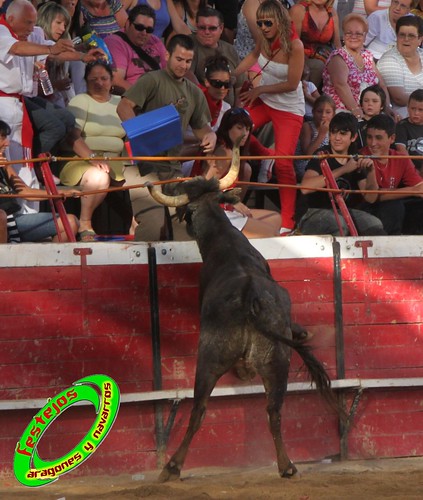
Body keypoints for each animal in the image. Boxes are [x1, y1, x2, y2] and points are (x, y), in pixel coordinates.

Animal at [147, 141, 340, 480]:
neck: (224, 240)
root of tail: (250, 296)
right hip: (277, 361)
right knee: (273, 411)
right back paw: (287, 466)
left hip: (210, 358)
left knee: (198, 410)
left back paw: (172, 466)